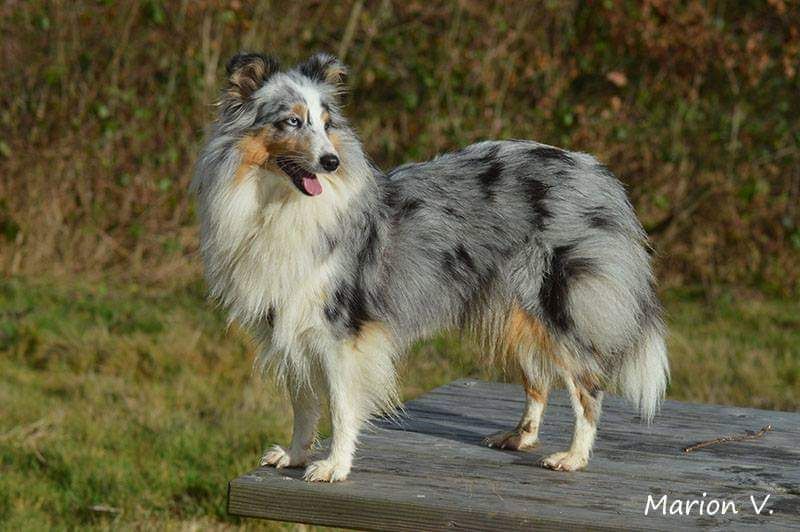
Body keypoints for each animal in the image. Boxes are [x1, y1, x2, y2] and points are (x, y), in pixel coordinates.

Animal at [192, 52, 669, 482]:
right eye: (291, 122)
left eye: (327, 124)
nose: (331, 162)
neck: (279, 205)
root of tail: (594, 171)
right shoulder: (290, 325)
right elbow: (304, 406)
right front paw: (294, 456)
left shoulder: (342, 332)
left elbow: (343, 407)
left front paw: (334, 467)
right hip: (512, 310)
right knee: (538, 377)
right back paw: (520, 437)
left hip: (555, 303)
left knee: (588, 385)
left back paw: (573, 457)